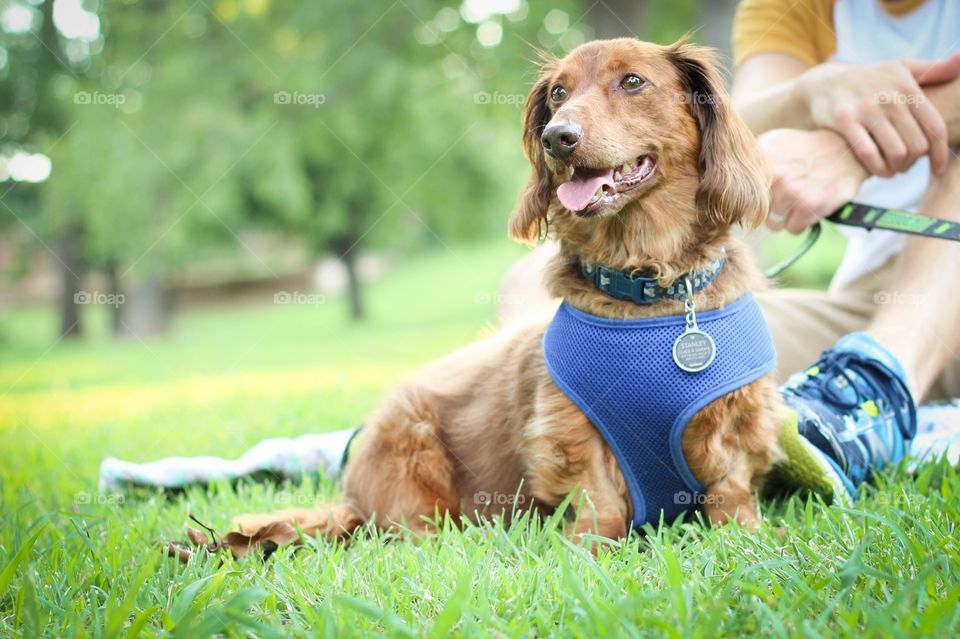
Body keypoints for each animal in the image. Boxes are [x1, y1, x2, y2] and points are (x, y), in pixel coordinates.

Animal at [236, 38, 784, 540]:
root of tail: (351, 495)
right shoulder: (569, 431)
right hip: (413, 459)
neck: (651, 296)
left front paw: (748, 539)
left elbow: (731, 489)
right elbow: (599, 499)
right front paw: (590, 549)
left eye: (632, 81)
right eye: (559, 93)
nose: (557, 137)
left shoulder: (736, 422)